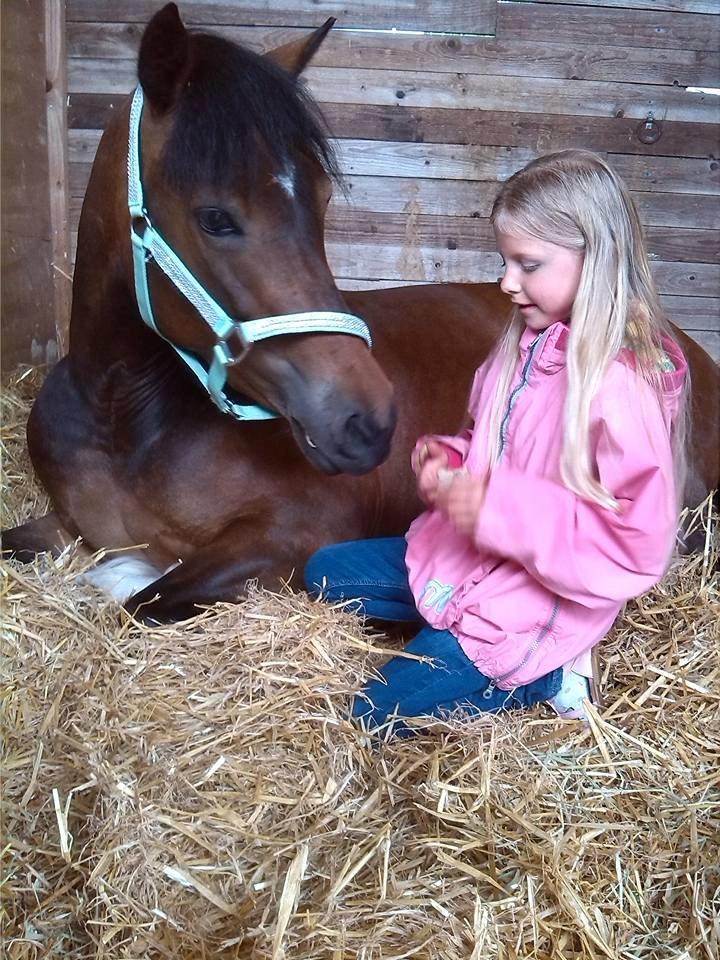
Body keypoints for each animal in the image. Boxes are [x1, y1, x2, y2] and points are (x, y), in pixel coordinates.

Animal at [5, 3, 720, 620]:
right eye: (214, 217)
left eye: (321, 200)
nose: (368, 420)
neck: (121, 415)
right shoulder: (58, 524)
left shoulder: (297, 534)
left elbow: (142, 601)